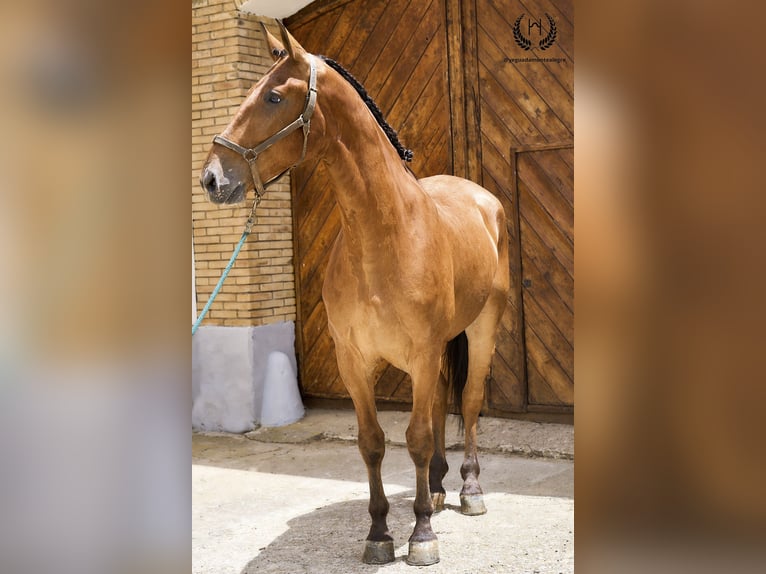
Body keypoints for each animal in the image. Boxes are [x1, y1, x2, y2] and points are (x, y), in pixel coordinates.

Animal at [200, 21, 510, 568]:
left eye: (274, 96)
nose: (212, 178)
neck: (385, 235)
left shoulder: (423, 353)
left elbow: (415, 438)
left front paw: (421, 536)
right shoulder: (354, 360)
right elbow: (373, 443)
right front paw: (381, 533)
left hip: (481, 329)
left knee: (469, 404)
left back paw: (469, 489)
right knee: (438, 411)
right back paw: (434, 488)